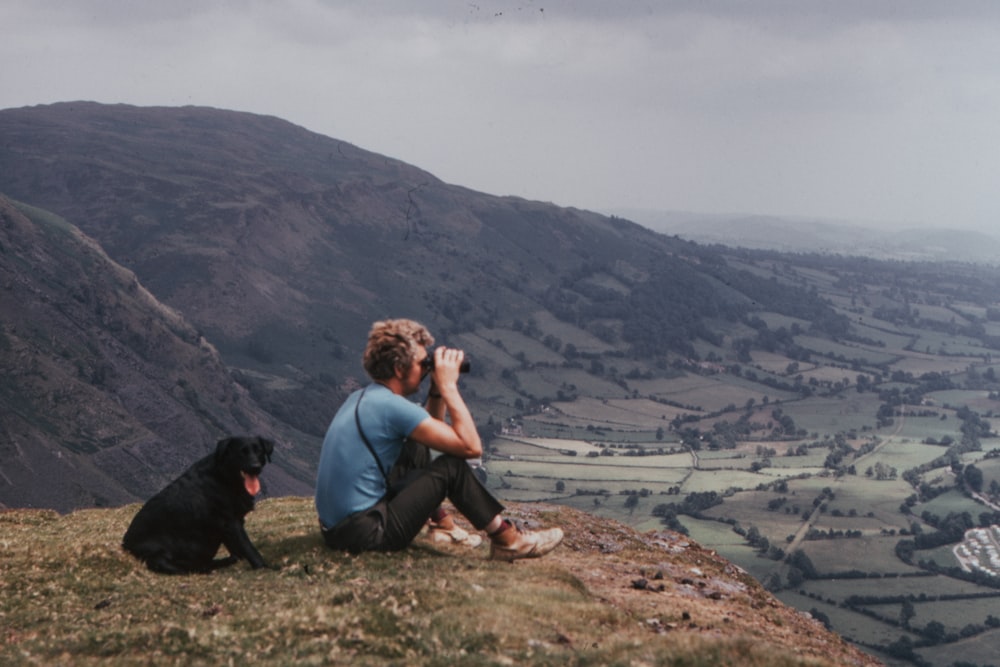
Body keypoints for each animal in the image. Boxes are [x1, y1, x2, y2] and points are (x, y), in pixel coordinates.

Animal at [123, 438, 276, 576]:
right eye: (241, 452)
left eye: (259, 451)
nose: (255, 467)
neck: (224, 476)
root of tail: (125, 545)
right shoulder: (231, 522)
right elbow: (248, 548)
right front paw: (264, 567)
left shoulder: (228, 526)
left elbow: (237, 551)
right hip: (158, 554)